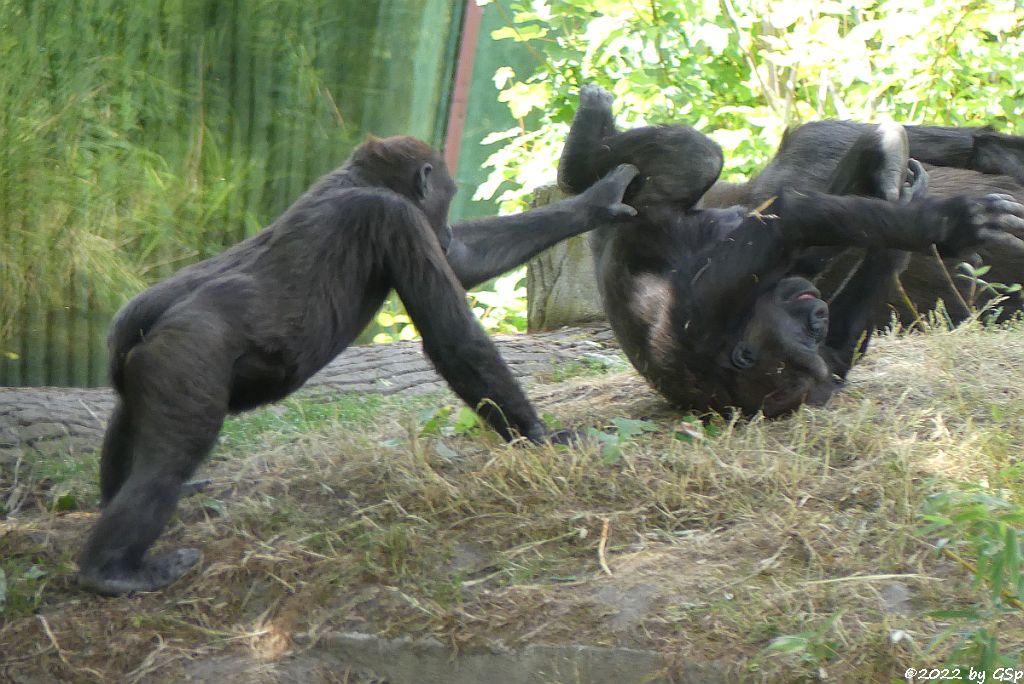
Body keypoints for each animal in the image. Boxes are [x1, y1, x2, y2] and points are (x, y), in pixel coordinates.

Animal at [79, 136, 634, 593]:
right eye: (446, 196)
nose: (445, 226)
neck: (361, 178)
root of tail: (151, 318)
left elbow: (466, 258)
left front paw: (593, 202)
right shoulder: (396, 219)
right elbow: (454, 335)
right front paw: (541, 436)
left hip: (138, 352)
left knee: (130, 428)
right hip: (186, 355)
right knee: (168, 463)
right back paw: (110, 572)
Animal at [561, 85, 1024, 417]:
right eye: (803, 338)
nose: (818, 316)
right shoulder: (712, 311)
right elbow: (793, 217)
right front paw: (950, 224)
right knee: (699, 159)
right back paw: (581, 155)